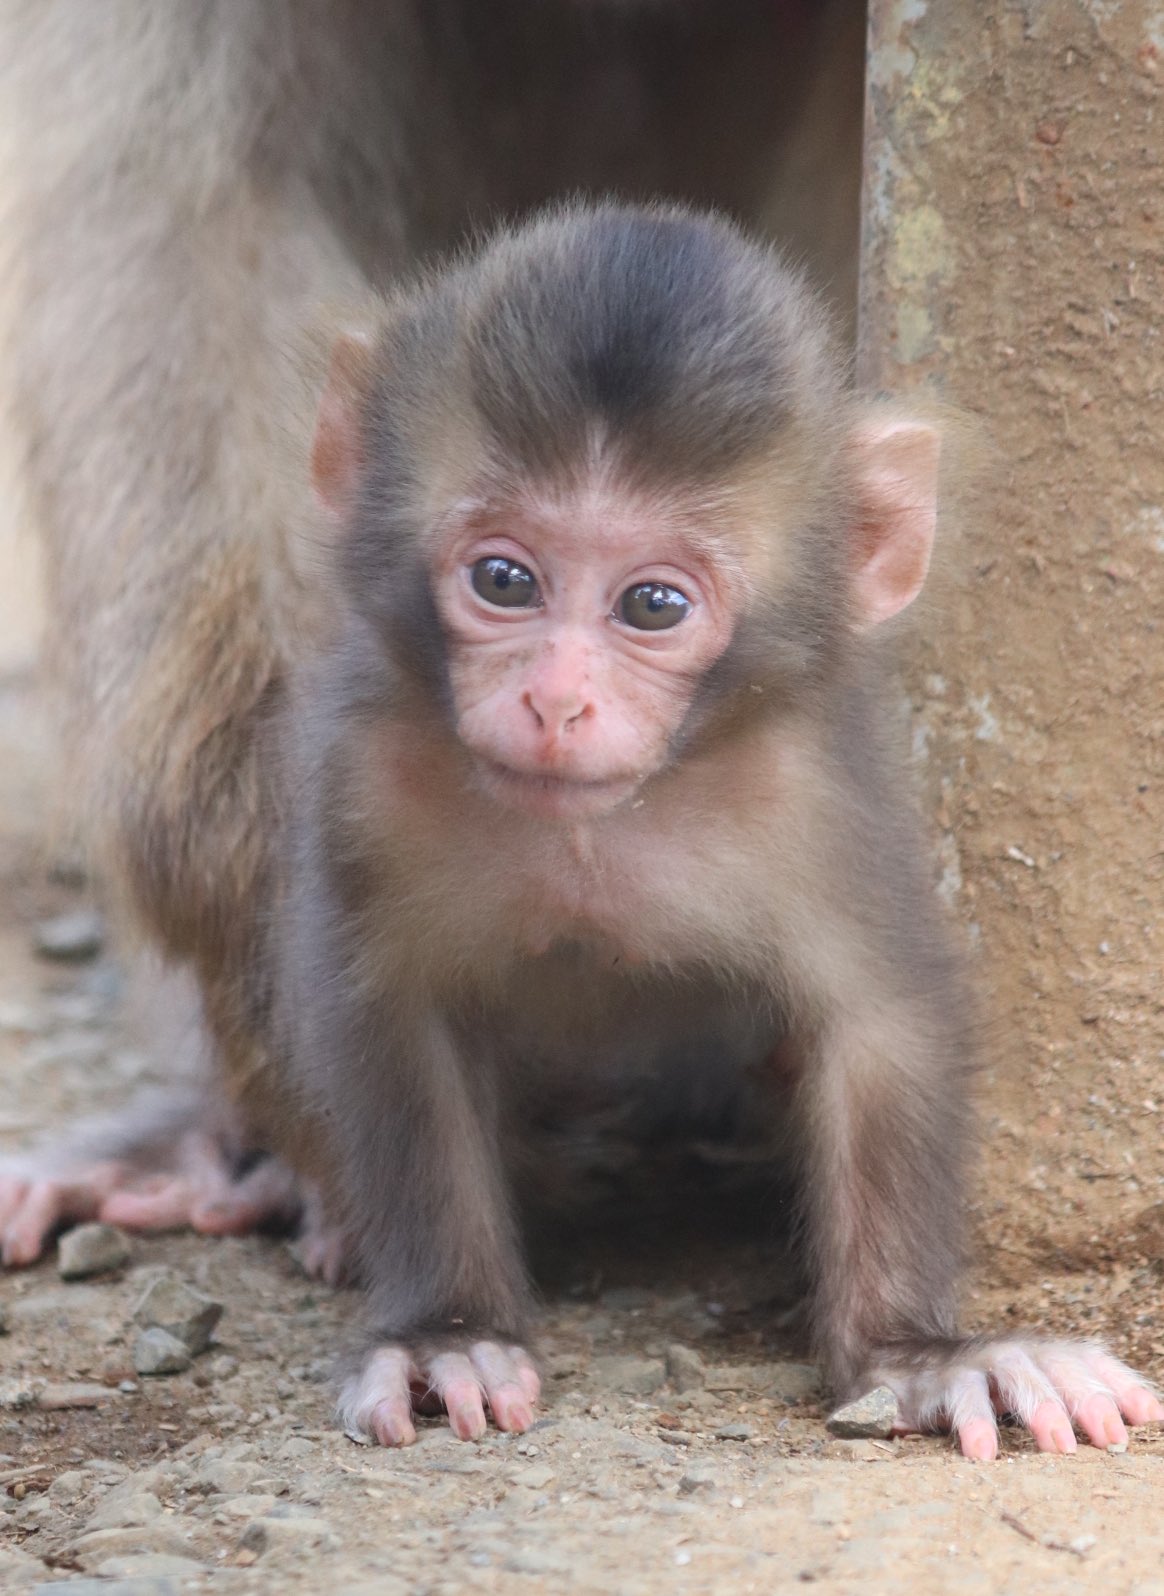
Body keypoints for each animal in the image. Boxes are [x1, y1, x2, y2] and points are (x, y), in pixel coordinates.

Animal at [269, 202, 1159, 1460]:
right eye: (504, 580)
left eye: (653, 605)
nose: (556, 700)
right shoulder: (367, 776)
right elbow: (395, 1019)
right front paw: (449, 1332)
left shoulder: (814, 795)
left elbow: (877, 1022)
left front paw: (921, 1356)